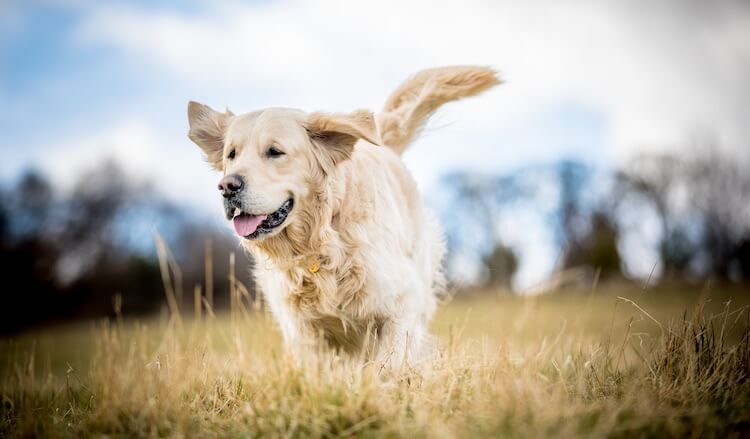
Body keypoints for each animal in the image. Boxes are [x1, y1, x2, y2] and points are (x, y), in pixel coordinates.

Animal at [187, 67, 500, 364]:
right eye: (232, 154)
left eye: (275, 152)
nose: (227, 186)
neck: (322, 238)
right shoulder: (303, 332)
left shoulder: (402, 304)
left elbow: (389, 363)